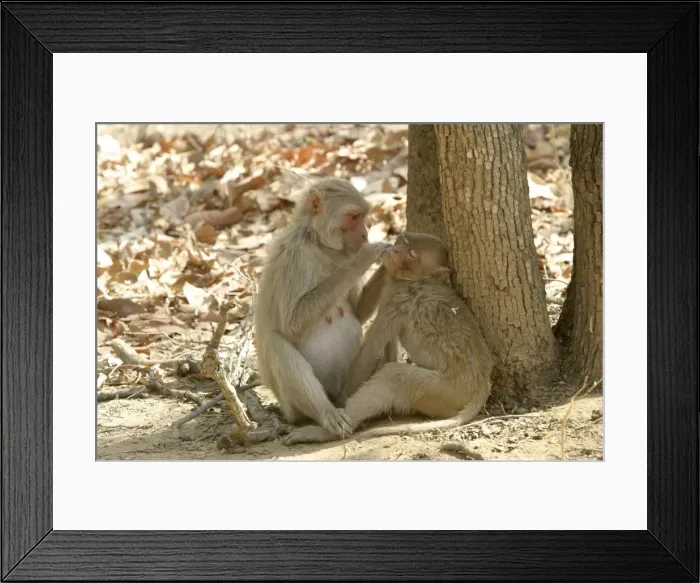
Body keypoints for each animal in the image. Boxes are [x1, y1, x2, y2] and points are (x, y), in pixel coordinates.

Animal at [254, 177, 393, 437]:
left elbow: (358, 312)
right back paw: (326, 414)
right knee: (277, 343)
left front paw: (390, 261)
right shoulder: (294, 256)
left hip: (350, 384)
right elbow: (292, 324)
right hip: (292, 407)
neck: (319, 245)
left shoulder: (341, 254)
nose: (365, 233)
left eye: (364, 216)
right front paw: (364, 258)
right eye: (353, 216)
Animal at [282, 232, 495, 445]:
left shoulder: (395, 302)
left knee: (394, 376)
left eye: (412, 253)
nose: (396, 249)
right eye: (404, 241)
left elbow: (370, 351)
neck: (417, 280)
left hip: (445, 391)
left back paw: (326, 432)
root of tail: (482, 385)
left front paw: (339, 403)